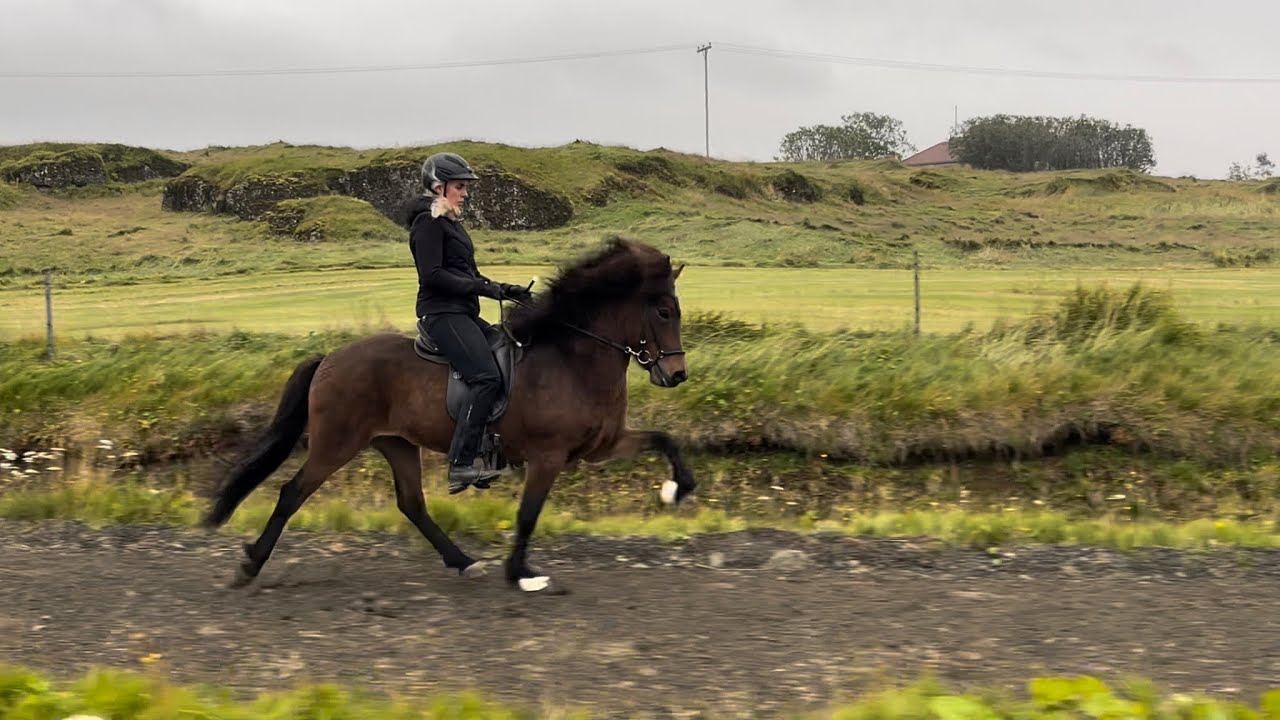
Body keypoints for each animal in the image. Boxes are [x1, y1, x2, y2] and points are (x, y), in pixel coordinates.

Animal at [202, 237, 695, 592]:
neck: (571, 358)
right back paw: (249, 566)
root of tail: (329, 358)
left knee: (411, 504)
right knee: (292, 493)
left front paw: (678, 489)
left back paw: (462, 562)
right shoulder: (548, 457)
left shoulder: (602, 445)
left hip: (396, 443)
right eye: (663, 311)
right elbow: (528, 514)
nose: (677, 375)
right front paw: (520, 573)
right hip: (336, 443)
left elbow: (666, 439)